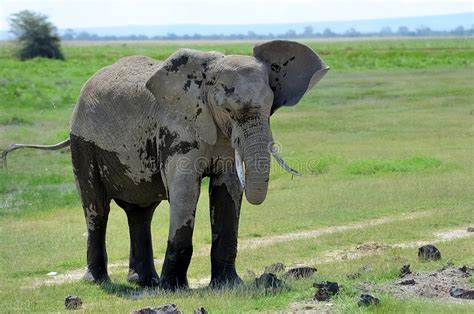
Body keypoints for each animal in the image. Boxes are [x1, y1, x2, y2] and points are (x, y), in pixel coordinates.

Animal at [2, 40, 330, 290]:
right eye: (226, 109)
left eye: (270, 106)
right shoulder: (176, 129)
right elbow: (185, 192)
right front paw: (174, 289)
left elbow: (228, 192)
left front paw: (228, 286)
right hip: (83, 144)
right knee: (96, 208)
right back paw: (99, 282)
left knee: (140, 213)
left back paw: (144, 281)